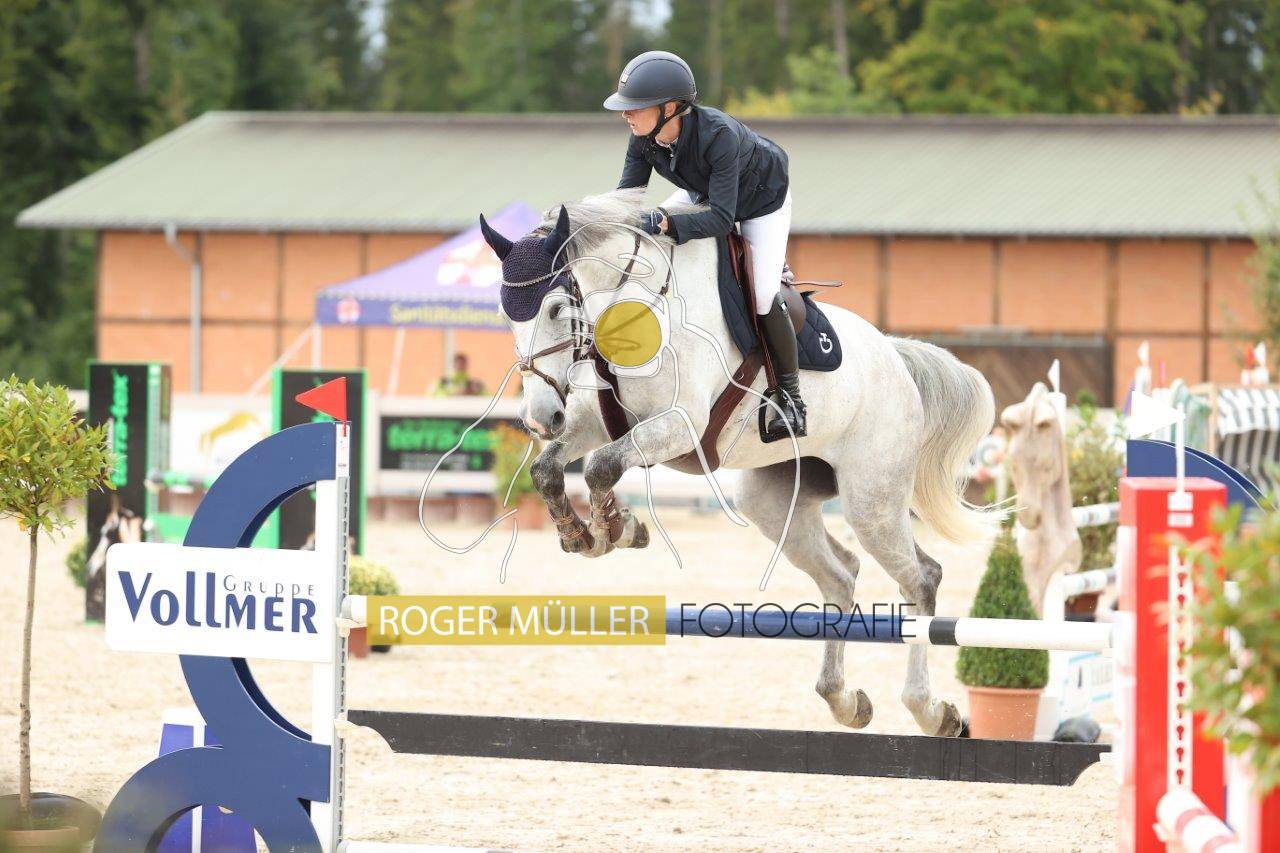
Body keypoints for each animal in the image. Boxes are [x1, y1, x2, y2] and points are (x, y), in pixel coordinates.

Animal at [481, 189, 1000, 737]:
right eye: (505, 315)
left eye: (557, 308)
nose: (540, 419)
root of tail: (895, 356)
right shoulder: (592, 422)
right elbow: (549, 470)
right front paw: (589, 534)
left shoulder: (677, 424)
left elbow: (602, 467)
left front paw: (614, 529)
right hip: (772, 500)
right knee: (840, 576)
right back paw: (843, 700)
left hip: (871, 501)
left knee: (921, 578)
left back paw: (931, 710)